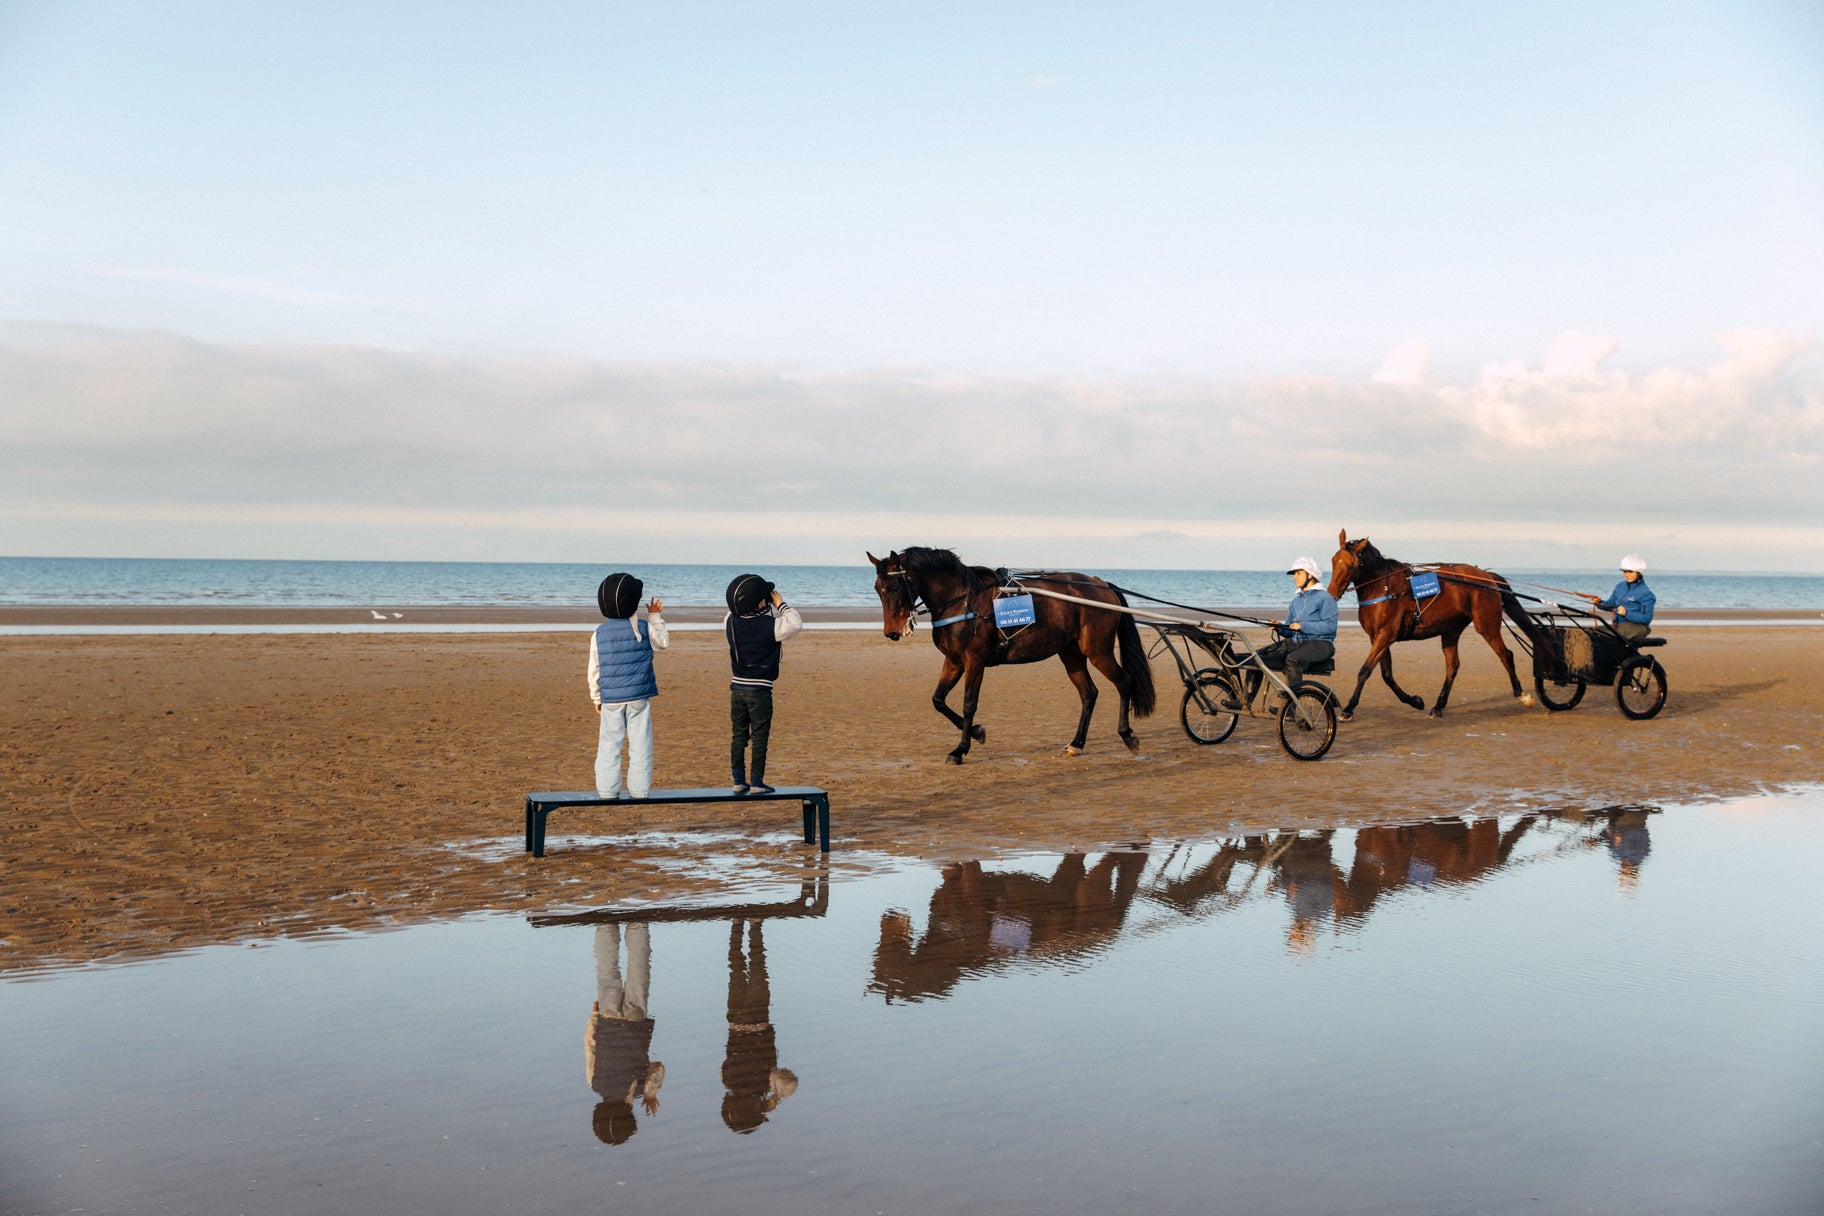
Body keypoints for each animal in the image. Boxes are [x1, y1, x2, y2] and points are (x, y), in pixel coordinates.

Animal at [868, 550, 1152, 765]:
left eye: (894, 587)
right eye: (877, 588)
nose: (891, 632)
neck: (964, 601)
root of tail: (1100, 584)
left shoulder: (974, 660)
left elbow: (969, 703)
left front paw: (961, 749)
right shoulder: (954, 661)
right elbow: (938, 700)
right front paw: (977, 731)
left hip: (1098, 651)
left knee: (1124, 682)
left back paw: (1127, 735)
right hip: (1071, 653)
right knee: (1088, 693)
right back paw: (1076, 743)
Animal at [1327, 528, 1539, 718]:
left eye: (1350, 566)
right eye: (1333, 561)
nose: (1332, 594)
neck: (1384, 588)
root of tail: (1487, 577)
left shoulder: (1386, 636)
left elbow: (1365, 671)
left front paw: (1348, 708)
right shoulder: (1377, 637)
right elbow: (1387, 675)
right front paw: (1415, 701)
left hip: (1487, 626)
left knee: (1506, 655)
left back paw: (1521, 695)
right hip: (1451, 630)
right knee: (1452, 666)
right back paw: (1438, 706)